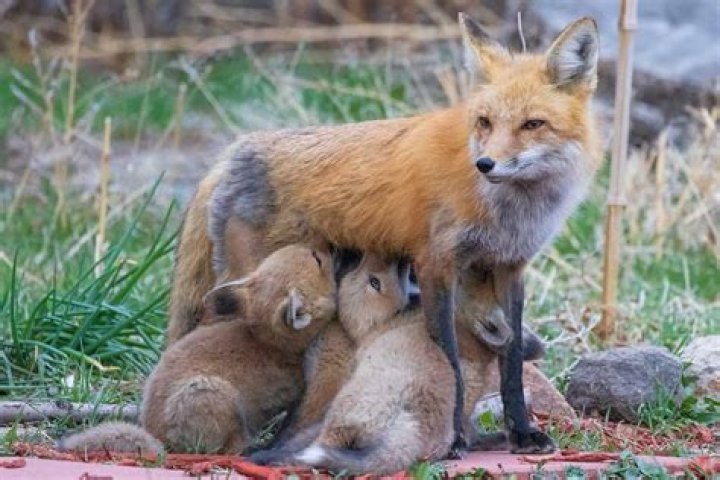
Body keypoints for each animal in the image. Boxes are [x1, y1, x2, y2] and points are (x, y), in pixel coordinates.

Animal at [59, 245, 337, 454]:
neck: (270, 344)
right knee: (224, 449)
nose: (333, 249)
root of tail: (156, 437)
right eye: (317, 258)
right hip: (214, 395)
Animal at [166, 13, 601, 453]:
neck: (513, 210)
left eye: (533, 124)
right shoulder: (436, 266)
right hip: (247, 284)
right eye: (485, 122)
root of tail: (234, 151)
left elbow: (511, 363)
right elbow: (449, 357)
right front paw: (455, 437)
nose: (485, 164)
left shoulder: (509, 267)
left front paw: (522, 432)